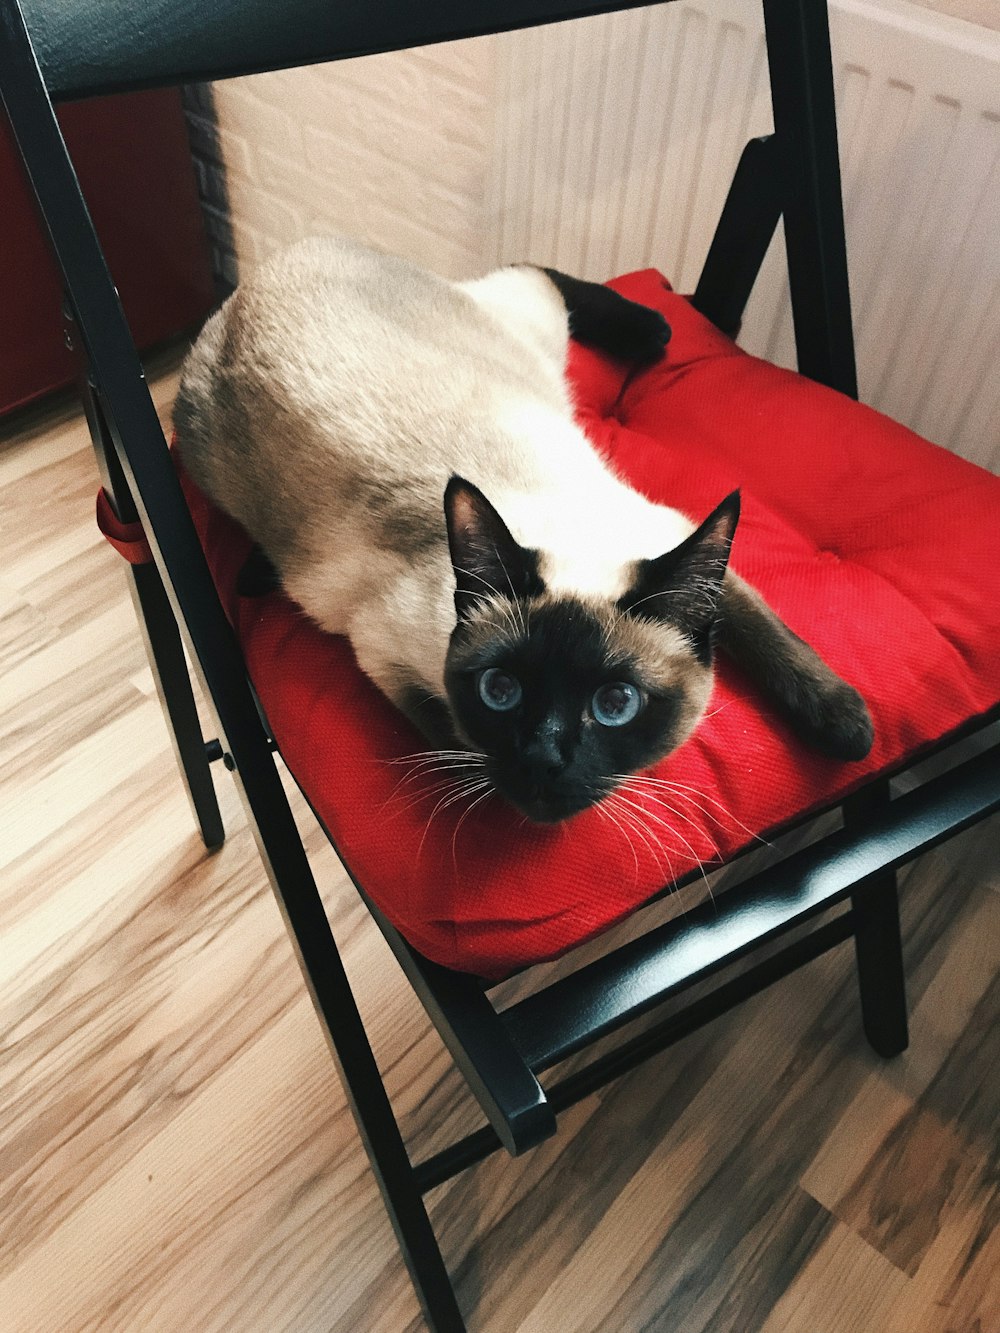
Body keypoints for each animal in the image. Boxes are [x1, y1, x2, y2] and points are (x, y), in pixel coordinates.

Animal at [176, 237, 874, 821]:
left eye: (615, 706)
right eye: (502, 690)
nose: (544, 765)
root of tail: (275, 262)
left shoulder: (672, 533)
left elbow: (773, 636)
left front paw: (846, 726)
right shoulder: (381, 650)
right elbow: (454, 739)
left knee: (531, 271)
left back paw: (654, 331)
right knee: (530, 268)